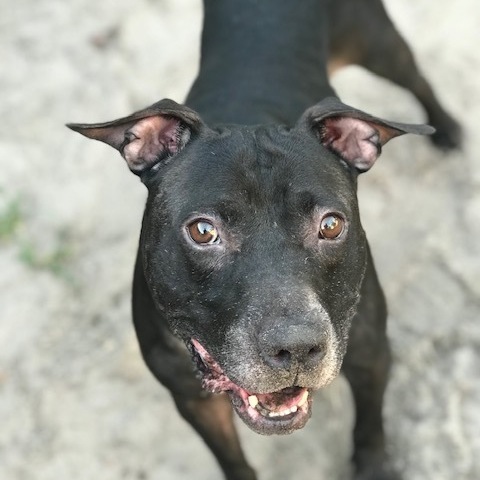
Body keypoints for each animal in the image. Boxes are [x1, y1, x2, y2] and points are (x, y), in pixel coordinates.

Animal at [69, 1, 460, 478]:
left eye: (331, 225)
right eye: (203, 231)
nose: (296, 347)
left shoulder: (371, 353)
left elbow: (370, 428)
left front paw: (372, 466)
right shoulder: (191, 399)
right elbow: (232, 460)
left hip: (375, 40)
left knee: (415, 77)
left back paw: (446, 128)